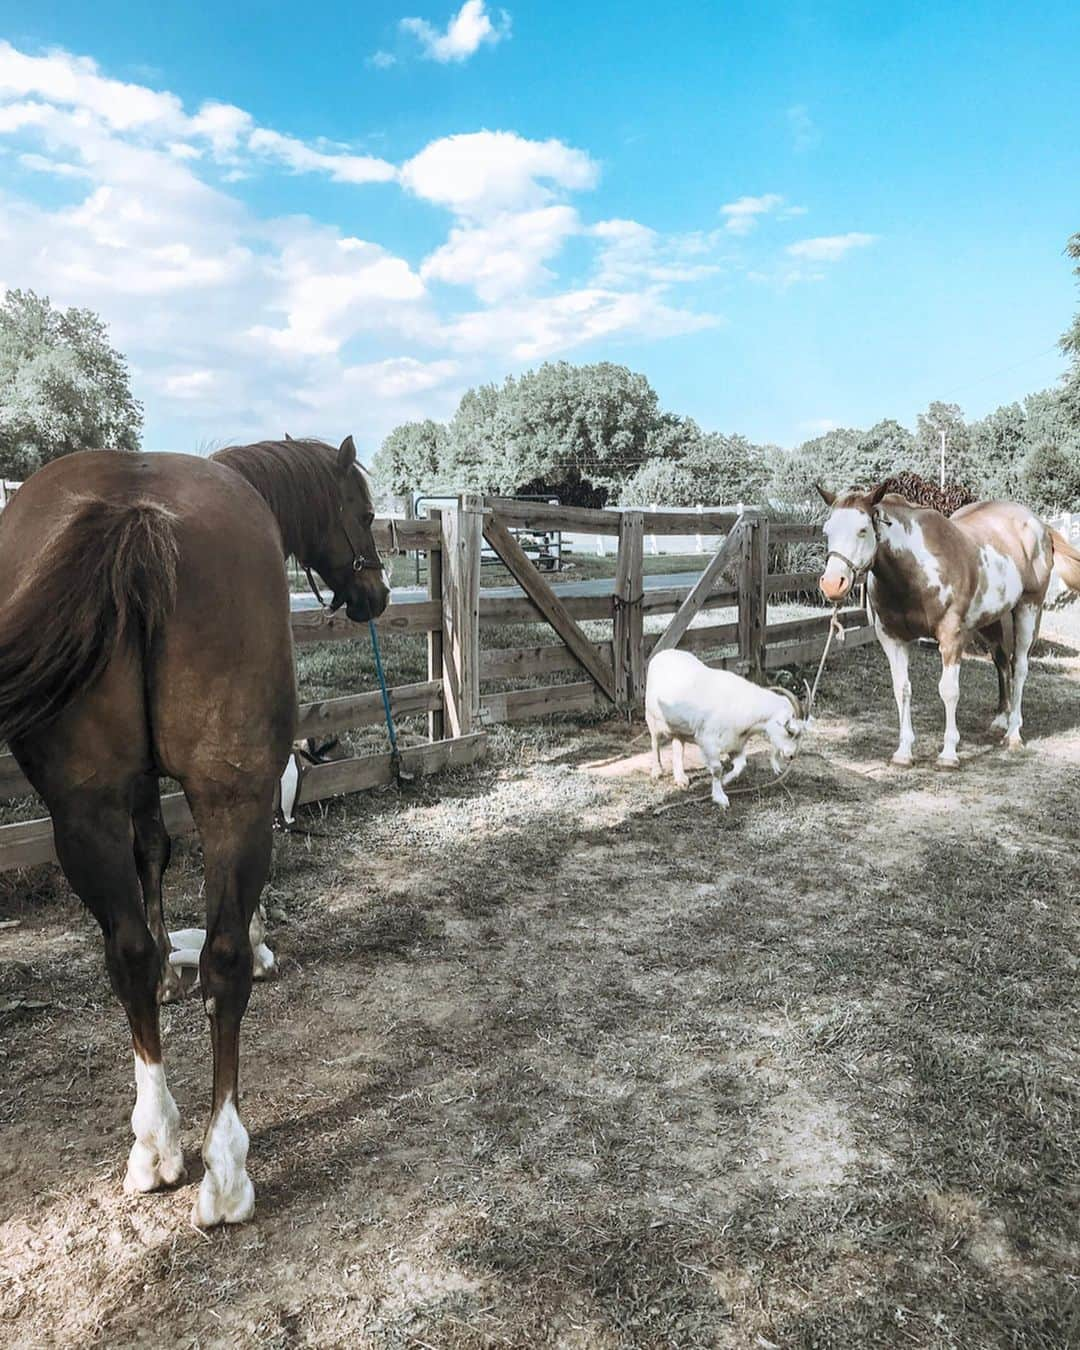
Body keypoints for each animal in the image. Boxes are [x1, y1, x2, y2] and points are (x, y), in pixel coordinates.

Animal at [0, 437, 388, 1231]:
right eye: (363, 514)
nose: (377, 593)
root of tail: (136, 517)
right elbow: (170, 864)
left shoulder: (131, 789)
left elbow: (151, 860)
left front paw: (165, 976)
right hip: (229, 795)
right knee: (225, 959)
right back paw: (226, 1171)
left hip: (81, 810)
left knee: (126, 954)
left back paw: (156, 1144)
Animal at [645, 648, 804, 804]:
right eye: (790, 731)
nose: (791, 755)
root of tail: (662, 653)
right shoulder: (707, 741)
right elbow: (716, 769)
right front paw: (720, 798)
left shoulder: (735, 743)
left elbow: (741, 765)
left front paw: (725, 781)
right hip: (651, 717)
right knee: (654, 743)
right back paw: (656, 771)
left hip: (678, 727)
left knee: (678, 744)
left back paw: (681, 779)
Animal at [820, 491, 1080, 772]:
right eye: (827, 530)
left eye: (863, 530)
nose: (832, 584)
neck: (915, 571)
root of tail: (1039, 525)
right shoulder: (892, 639)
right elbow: (902, 689)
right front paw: (903, 752)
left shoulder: (951, 638)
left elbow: (948, 691)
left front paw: (948, 754)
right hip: (991, 621)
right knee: (1001, 662)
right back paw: (1001, 719)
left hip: (1028, 609)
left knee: (1019, 667)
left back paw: (1013, 734)